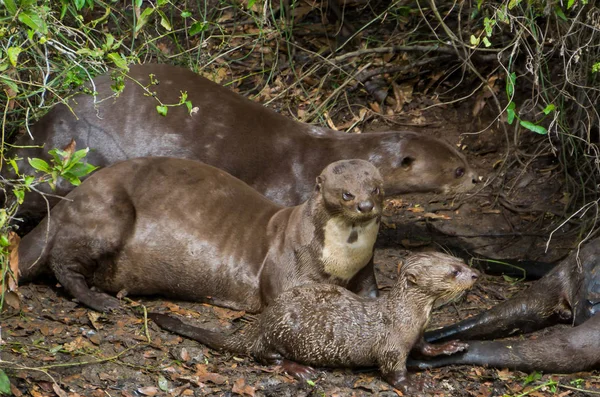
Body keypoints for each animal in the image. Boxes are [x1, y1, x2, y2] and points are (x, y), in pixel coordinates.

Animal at [19, 156, 384, 310]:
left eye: (376, 188)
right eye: (346, 194)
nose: (365, 205)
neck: (340, 260)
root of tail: (70, 199)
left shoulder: (366, 268)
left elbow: (370, 292)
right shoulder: (286, 263)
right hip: (108, 215)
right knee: (62, 263)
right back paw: (100, 301)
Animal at [149, 252, 478, 392]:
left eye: (461, 261)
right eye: (453, 272)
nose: (475, 274)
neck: (406, 316)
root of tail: (260, 325)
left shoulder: (418, 334)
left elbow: (425, 347)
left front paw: (451, 346)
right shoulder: (391, 346)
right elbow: (393, 371)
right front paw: (417, 383)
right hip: (282, 330)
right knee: (265, 355)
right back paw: (299, 368)